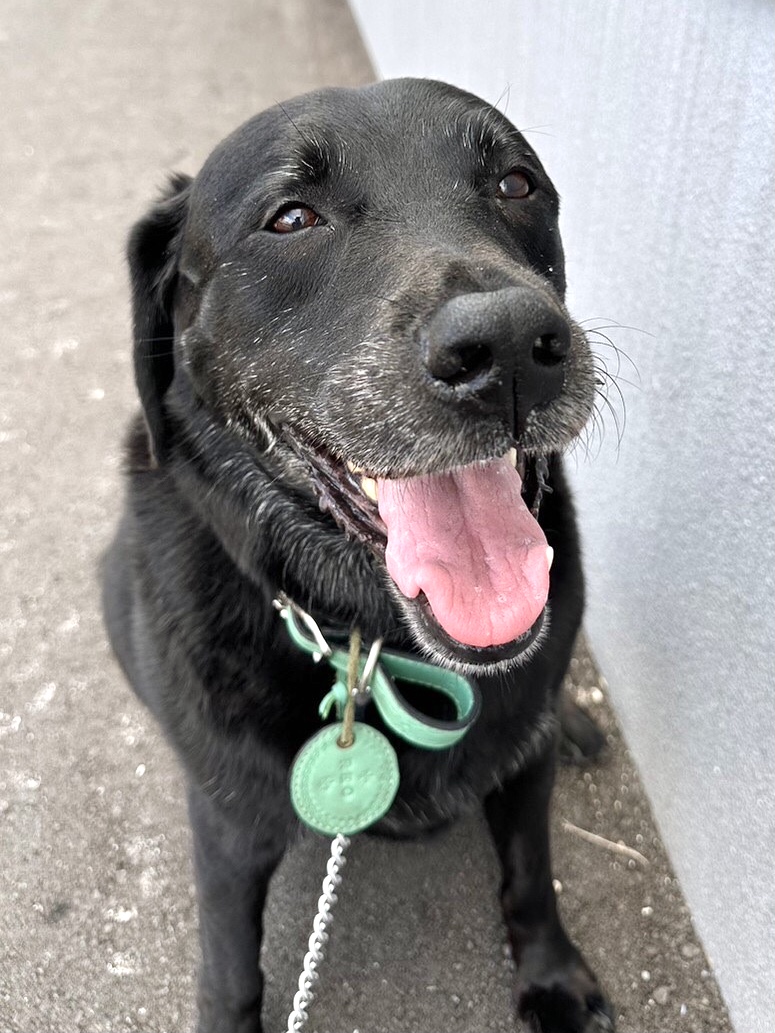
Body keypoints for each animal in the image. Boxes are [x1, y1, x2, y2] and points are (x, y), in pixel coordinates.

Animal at [101, 78, 611, 1033]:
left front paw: (552, 977)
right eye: (292, 217)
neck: (379, 640)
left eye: (516, 183)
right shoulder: (229, 826)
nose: (507, 347)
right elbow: (231, 964)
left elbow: (532, 873)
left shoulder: (523, 767)